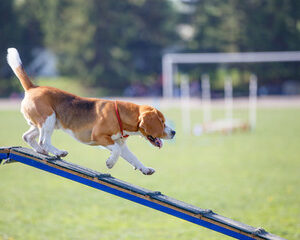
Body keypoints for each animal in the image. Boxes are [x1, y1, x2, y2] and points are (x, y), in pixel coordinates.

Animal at [6, 48, 176, 175]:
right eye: (162, 122)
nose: (174, 132)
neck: (120, 115)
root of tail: (33, 87)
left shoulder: (121, 143)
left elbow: (131, 156)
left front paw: (144, 169)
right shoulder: (99, 136)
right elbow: (116, 151)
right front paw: (110, 163)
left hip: (46, 123)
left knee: (27, 136)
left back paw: (41, 151)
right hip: (48, 119)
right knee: (43, 141)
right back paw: (58, 152)